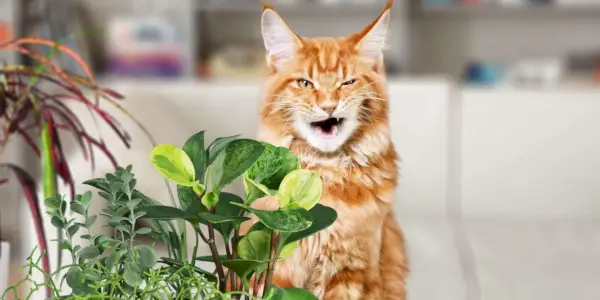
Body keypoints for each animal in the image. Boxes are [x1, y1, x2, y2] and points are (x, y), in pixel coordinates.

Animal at [246, 1, 410, 298]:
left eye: (347, 83)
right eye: (305, 84)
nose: (328, 106)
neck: (321, 179)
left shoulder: (353, 271)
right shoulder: (275, 268)